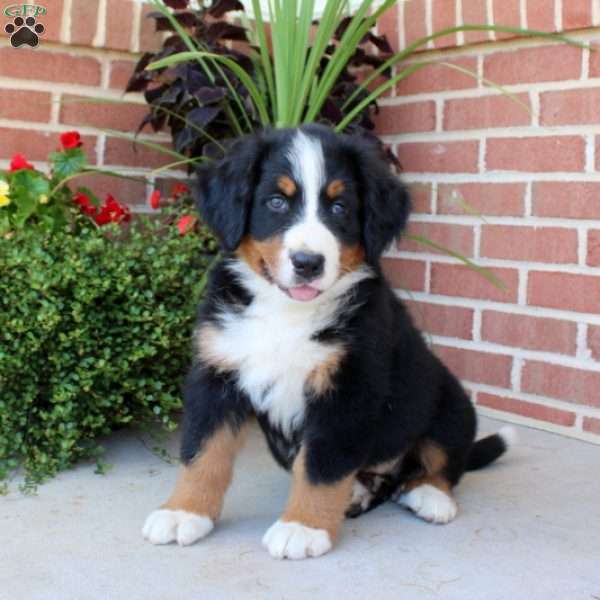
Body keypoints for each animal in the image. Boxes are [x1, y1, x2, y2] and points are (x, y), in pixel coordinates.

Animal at [142, 124, 516, 560]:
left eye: (339, 208)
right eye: (276, 202)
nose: (308, 263)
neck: (286, 313)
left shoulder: (347, 388)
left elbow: (321, 464)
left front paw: (302, 527)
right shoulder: (217, 373)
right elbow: (202, 452)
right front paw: (183, 512)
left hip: (452, 402)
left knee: (443, 462)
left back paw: (429, 495)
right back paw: (359, 492)